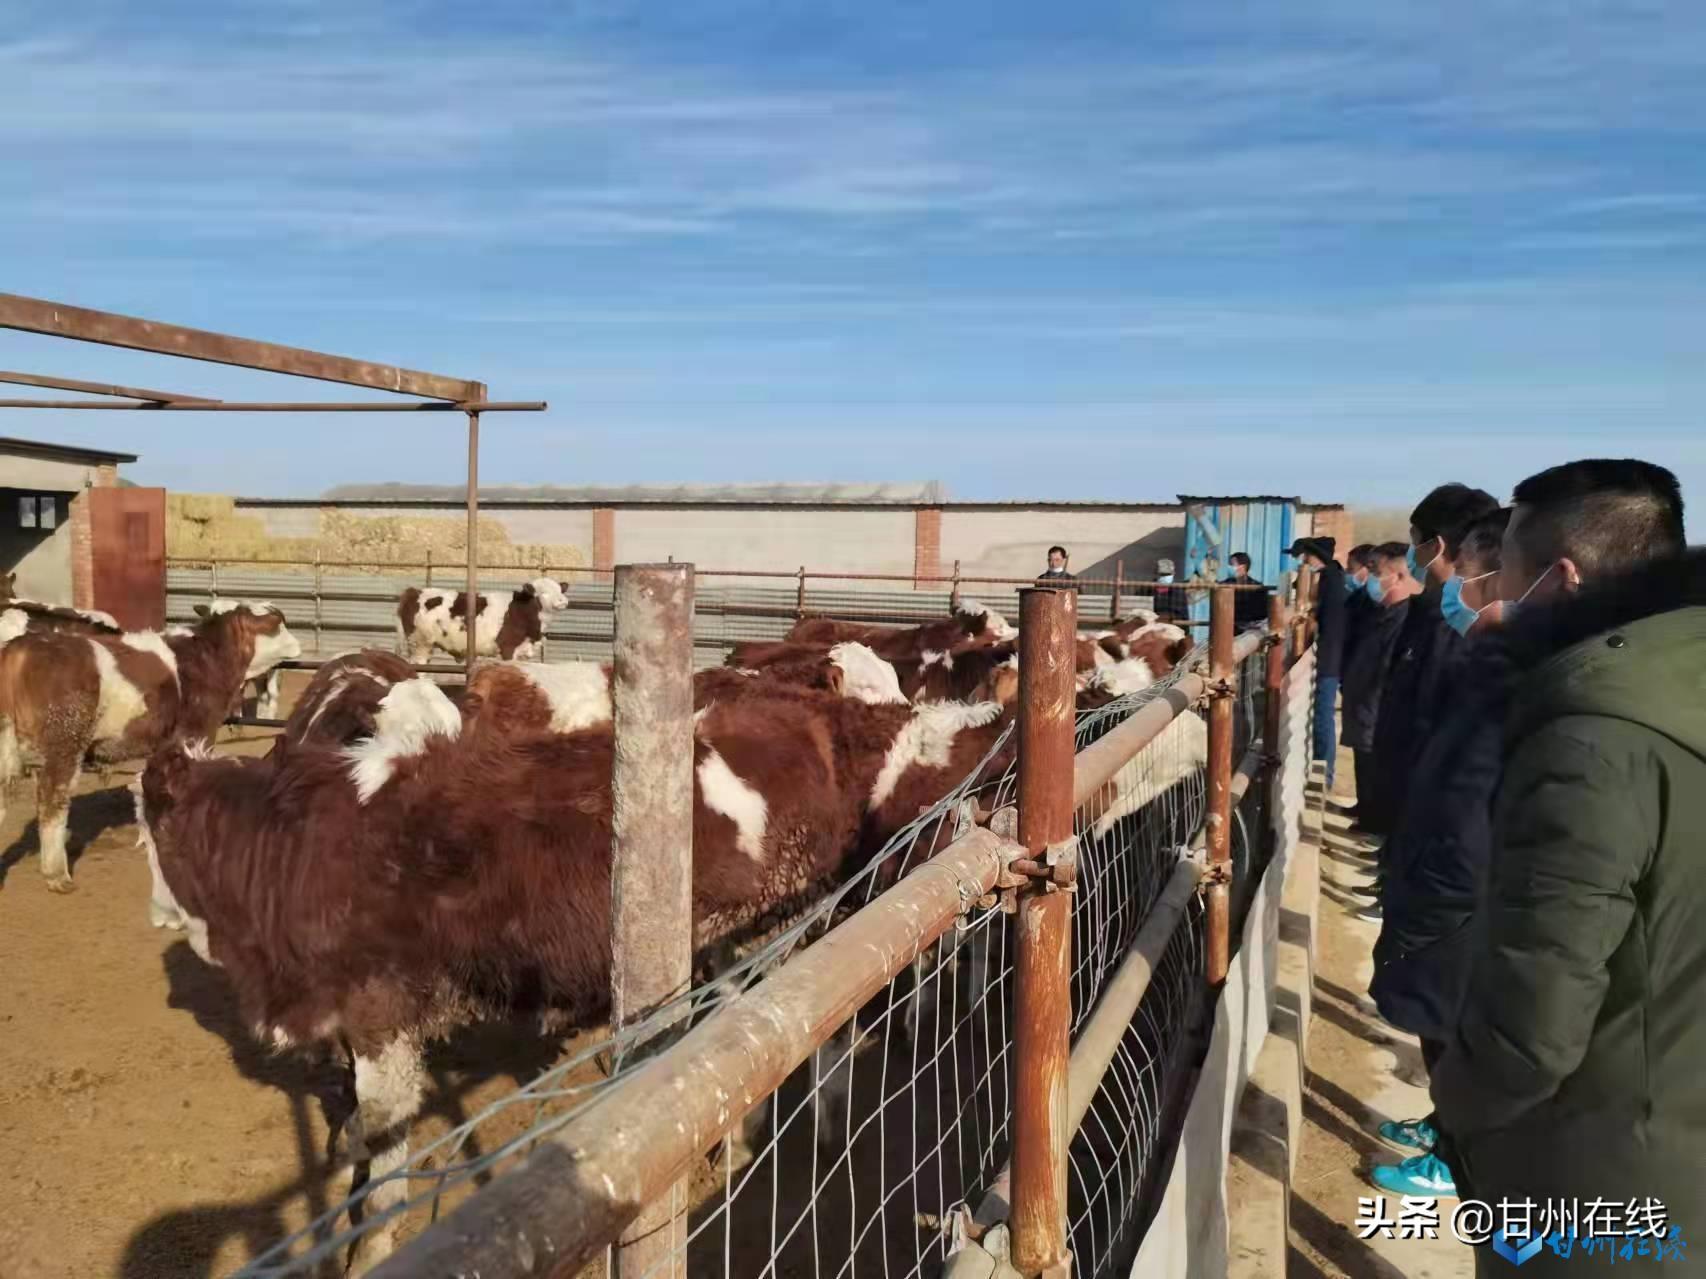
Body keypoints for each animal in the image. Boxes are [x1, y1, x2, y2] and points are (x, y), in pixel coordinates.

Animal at [0, 607, 300, 893]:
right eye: (278, 625)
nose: (299, 645)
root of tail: (20, 647)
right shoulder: (196, 733)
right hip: (64, 745)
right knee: (53, 804)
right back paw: (57, 875)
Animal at [392, 579, 566, 661]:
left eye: (559, 590)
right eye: (543, 592)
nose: (562, 601)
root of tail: (414, 591)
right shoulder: (507, 649)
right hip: (419, 645)